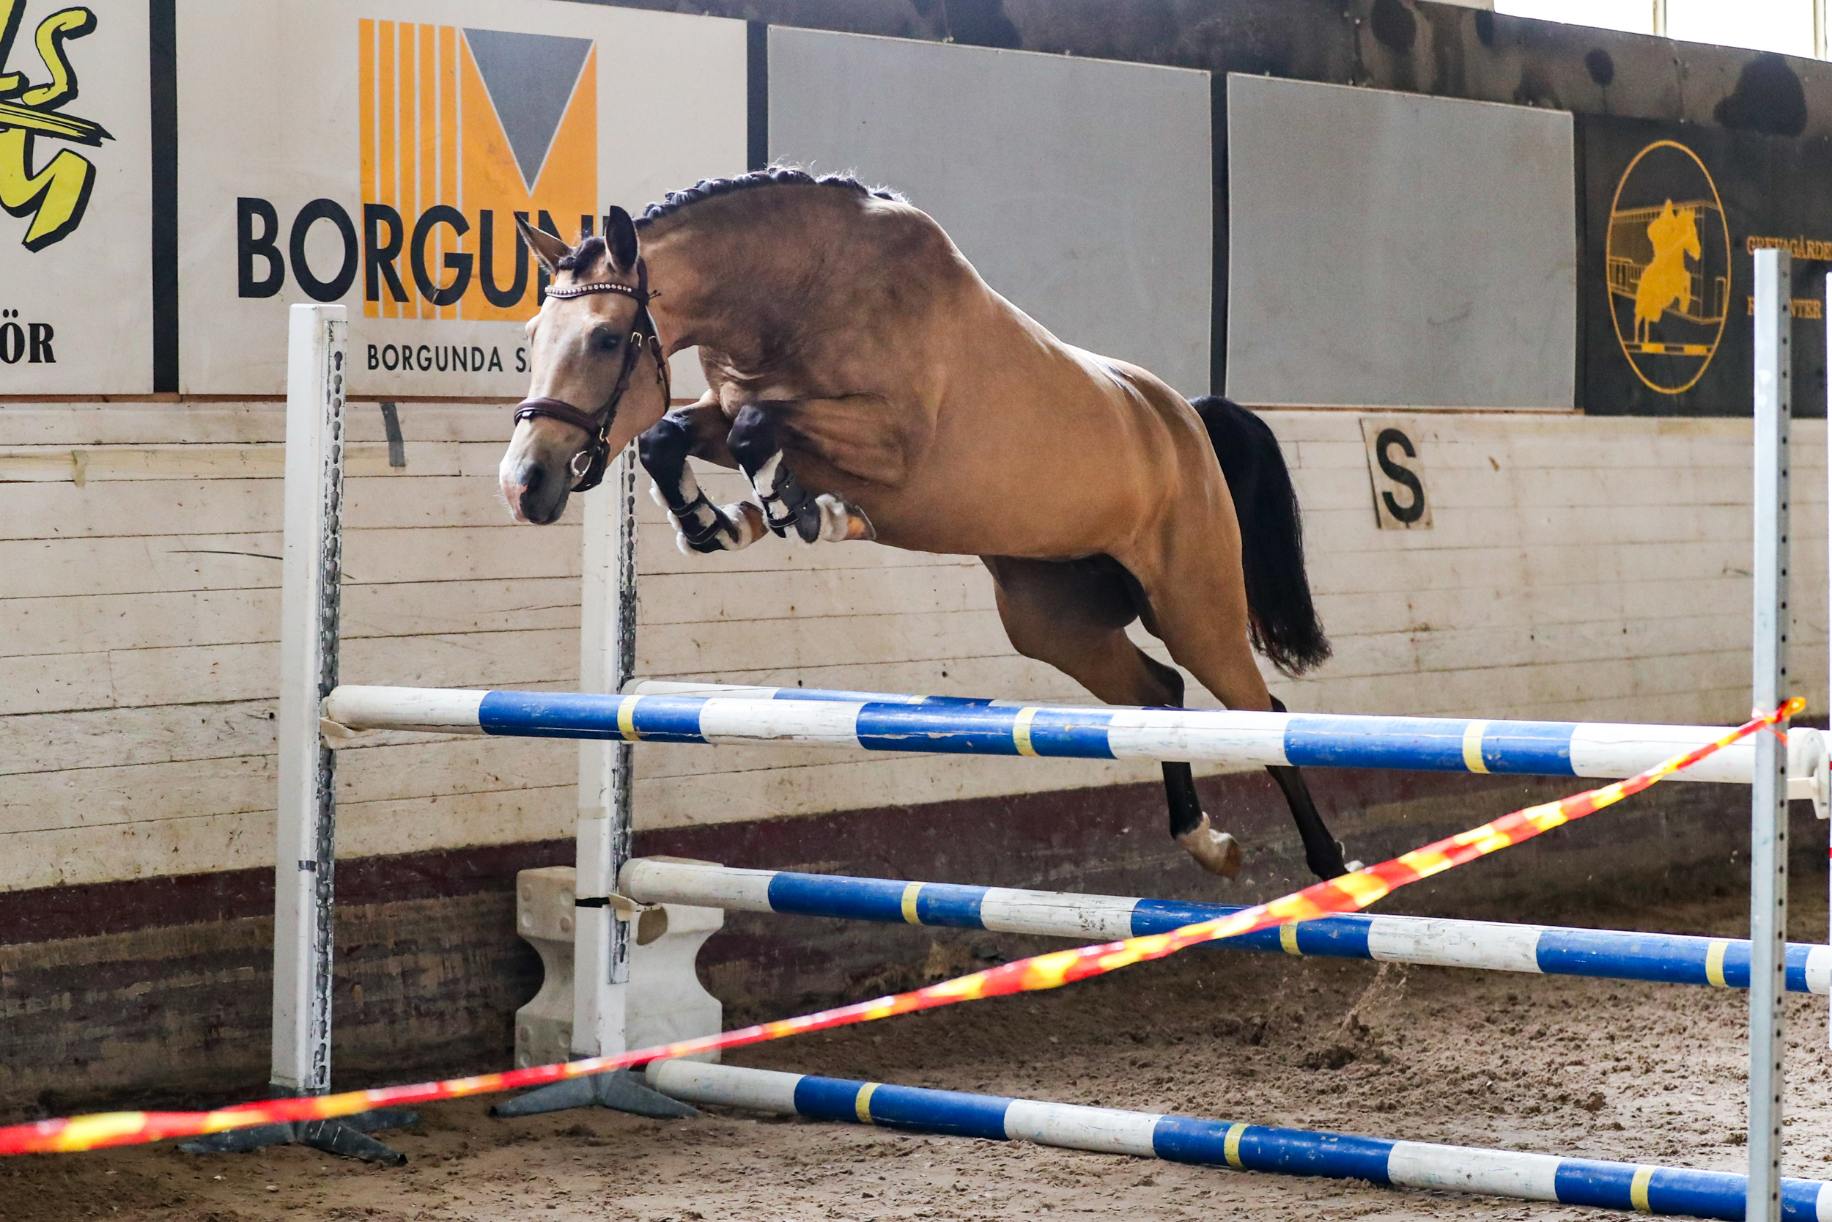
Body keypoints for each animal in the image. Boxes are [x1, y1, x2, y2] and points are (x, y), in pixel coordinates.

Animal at [494, 169, 1355, 879]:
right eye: (531, 339)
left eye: (608, 337)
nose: (523, 484)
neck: (802, 292)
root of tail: (1186, 421)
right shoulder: (733, 406)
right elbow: (675, 433)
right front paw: (721, 520)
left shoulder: (890, 445)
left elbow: (757, 433)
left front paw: (795, 512)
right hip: (1052, 619)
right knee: (1158, 694)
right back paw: (1206, 842)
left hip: (1194, 606)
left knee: (1262, 717)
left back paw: (1332, 868)